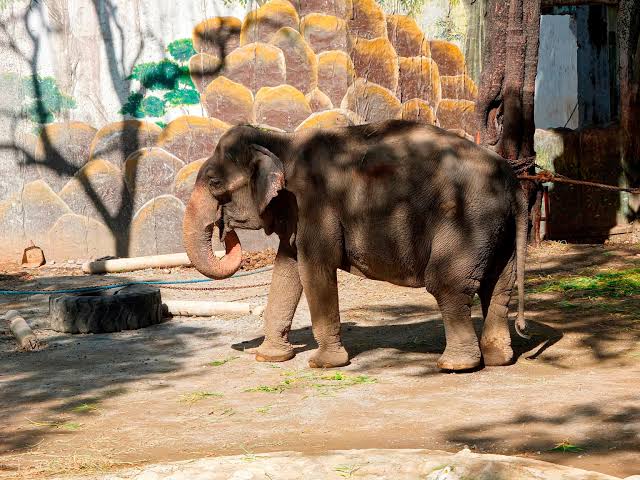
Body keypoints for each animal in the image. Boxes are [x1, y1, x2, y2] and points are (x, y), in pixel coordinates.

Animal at [183, 120, 530, 371]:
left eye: (214, 183)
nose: (224, 229)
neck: (282, 140)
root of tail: (511, 178)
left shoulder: (315, 204)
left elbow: (314, 269)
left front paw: (323, 365)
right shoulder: (296, 212)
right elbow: (287, 269)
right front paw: (269, 357)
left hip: (467, 219)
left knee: (448, 285)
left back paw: (455, 366)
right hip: (498, 227)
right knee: (499, 286)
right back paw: (499, 359)